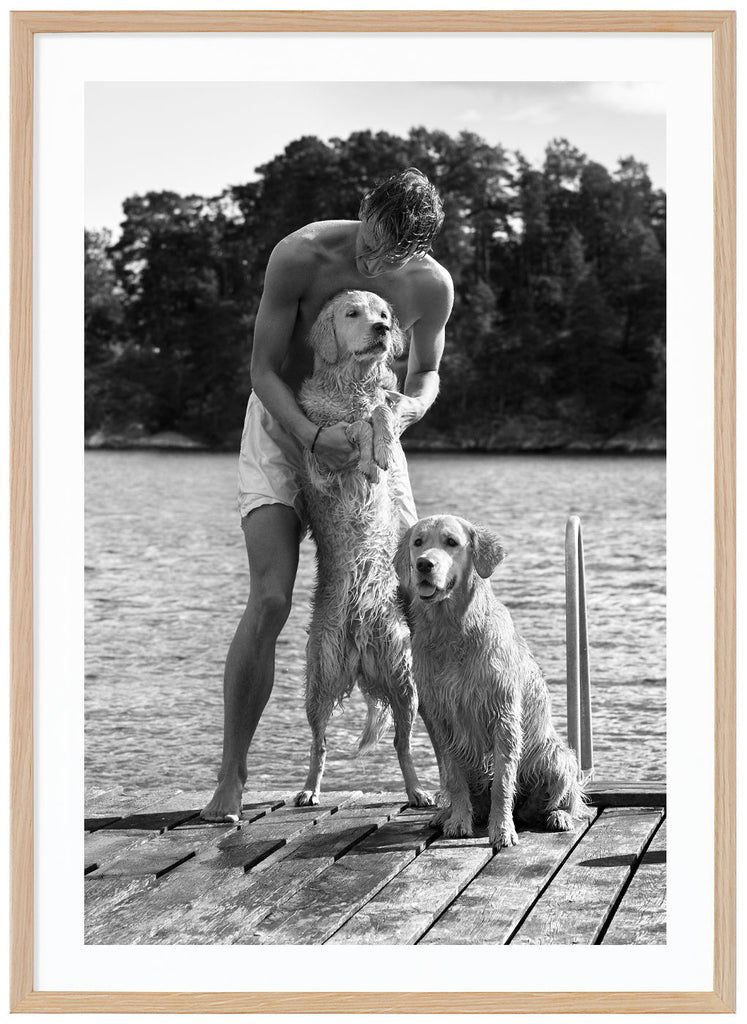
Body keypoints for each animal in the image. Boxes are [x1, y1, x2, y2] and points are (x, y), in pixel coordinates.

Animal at [293, 288, 428, 806]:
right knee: (319, 743)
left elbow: (382, 410)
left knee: (402, 743)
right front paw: (369, 452)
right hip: (319, 676)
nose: (382, 329)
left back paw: (418, 790)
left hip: (405, 676)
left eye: (384, 313)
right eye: (353, 313)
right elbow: (351, 427)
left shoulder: (384, 401)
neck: (351, 386)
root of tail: (358, 646)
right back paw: (308, 790)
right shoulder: (318, 463)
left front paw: (383, 448)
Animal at [393, 512, 586, 847]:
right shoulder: (442, 718)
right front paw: (458, 820)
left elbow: (503, 783)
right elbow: (455, 779)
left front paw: (502, 829)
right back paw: (445, 815)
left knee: (564, 800)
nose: (423, 564)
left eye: (451, 542)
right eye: (418, 542)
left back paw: (558, 816)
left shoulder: (503, 717)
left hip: (557, 756)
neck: (453, 631)